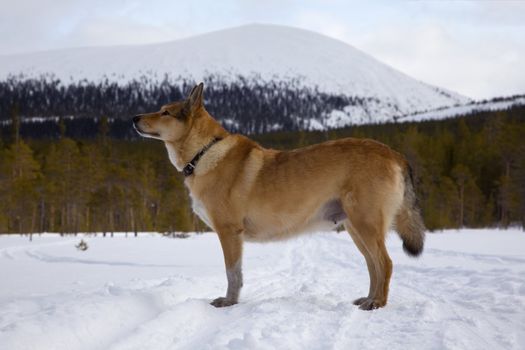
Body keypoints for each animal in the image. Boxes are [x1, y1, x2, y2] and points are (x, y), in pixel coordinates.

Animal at [133, 83, 424, 310]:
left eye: (165, 112)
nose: (134, 117)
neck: (203, 152)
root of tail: (393, 153)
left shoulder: (229, 232)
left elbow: (232, 273)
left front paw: (229, 302)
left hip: (366, 224)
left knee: (385, 264)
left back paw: (377, 304)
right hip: (356, 228)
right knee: (373, 266)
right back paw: (368, 298)